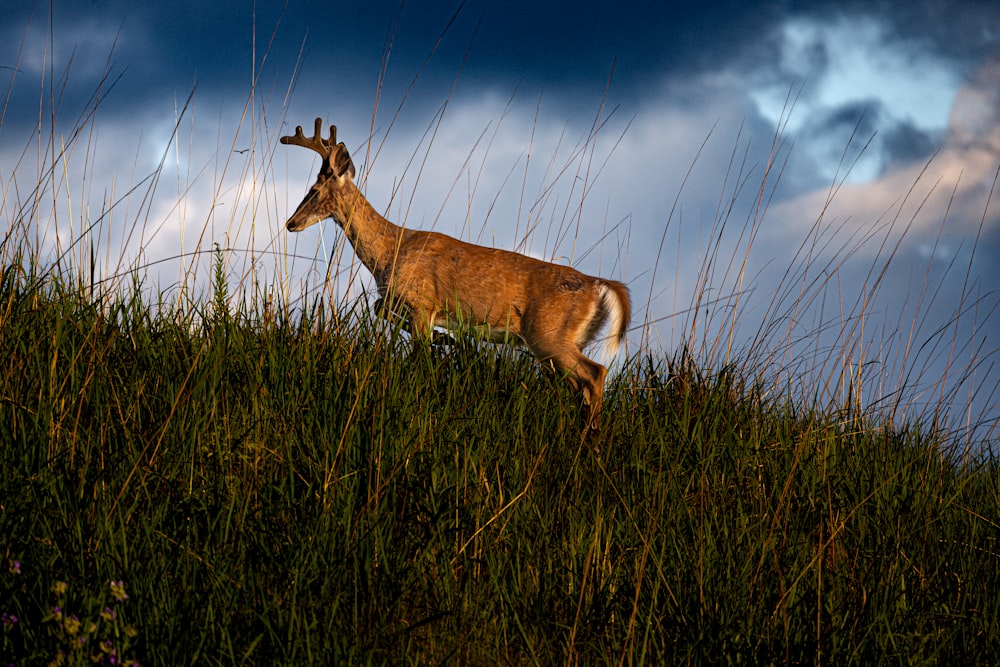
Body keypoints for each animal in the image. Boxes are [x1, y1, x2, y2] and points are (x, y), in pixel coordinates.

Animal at [278, 118, 628, 428]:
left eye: (314, 190)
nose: (290, 223)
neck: (389, 253)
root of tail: (599, 284)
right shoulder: (403, 301)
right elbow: (381, 309)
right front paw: (446, 338)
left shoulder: (422, 302)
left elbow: (419, 356)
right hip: (564, 342)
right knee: (582, 387)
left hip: (548, 335)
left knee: (596, 374)